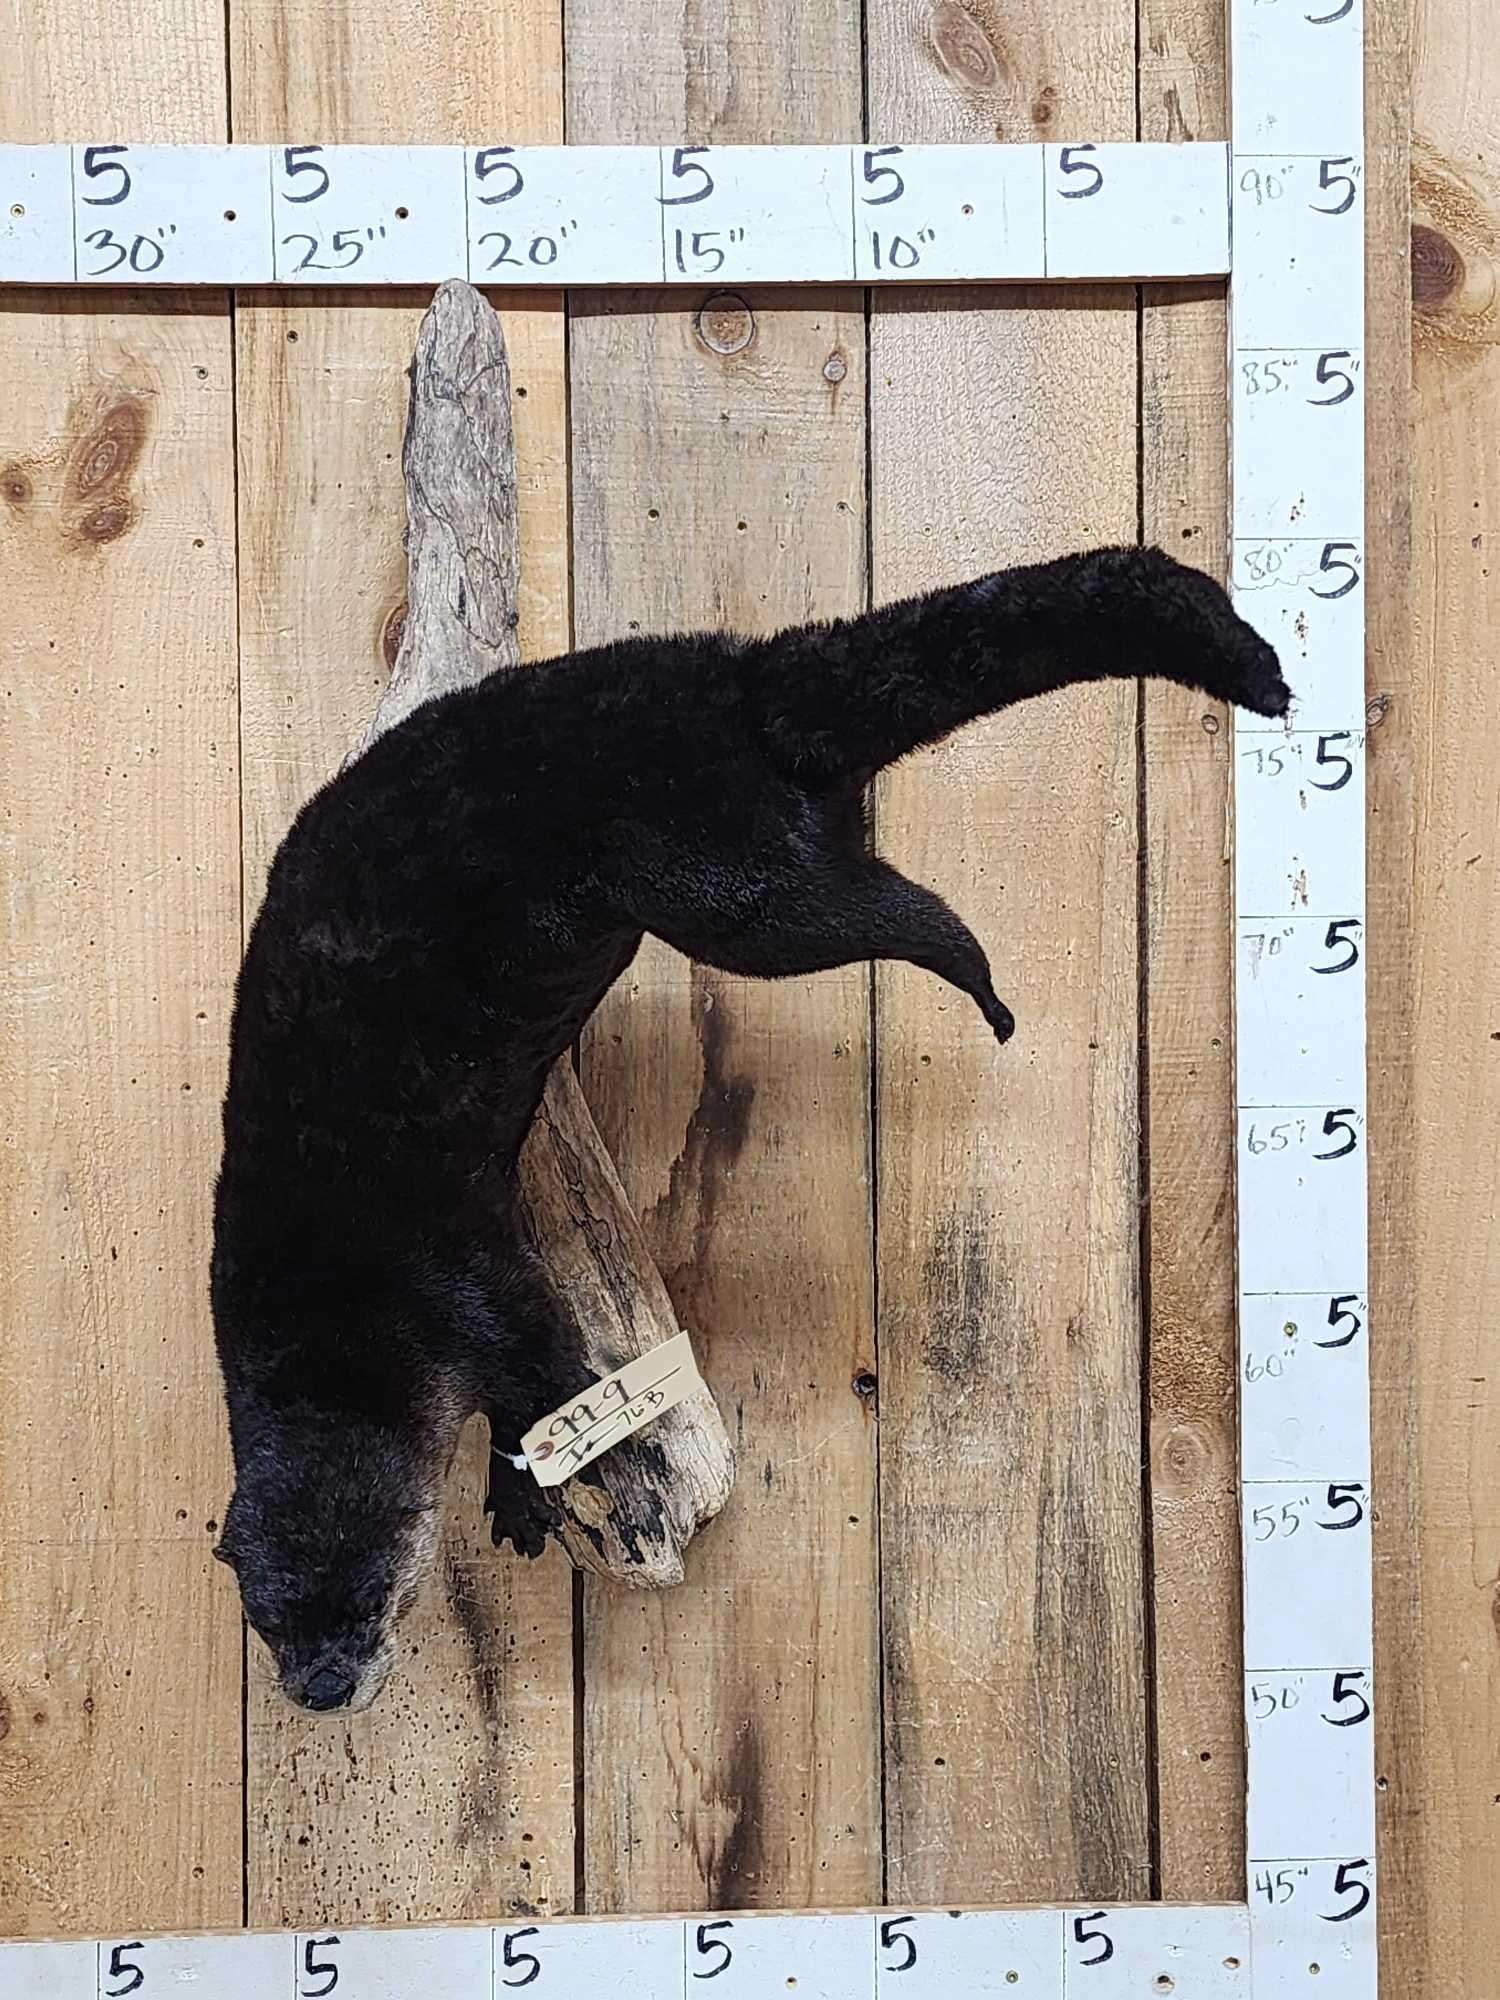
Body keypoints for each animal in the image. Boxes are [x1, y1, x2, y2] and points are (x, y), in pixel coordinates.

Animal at [209, 545, 1290, 1712]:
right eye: (270, 1617)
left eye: (370, 1592)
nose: (325, 1684)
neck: (326, 1291)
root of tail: (731, 682)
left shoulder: (458, 1269)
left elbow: (543, 1370)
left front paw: (520, 1492)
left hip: (730, 887)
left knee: (873, 910)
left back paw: (988, 992)